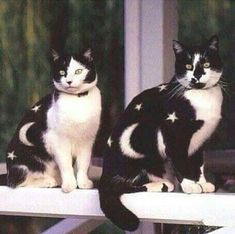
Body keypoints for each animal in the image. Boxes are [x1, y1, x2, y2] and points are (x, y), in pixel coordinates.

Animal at [6, 48, 101, 192]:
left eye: (78, 71)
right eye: (62, 72)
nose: (69, 81)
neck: (77, 100)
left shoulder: (87, 141)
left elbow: (83, 164)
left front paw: (83, 183)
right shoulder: (58, 140)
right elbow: (66, 164)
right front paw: (69, 185)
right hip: (22, 160)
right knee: (16, 181)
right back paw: (48, 181)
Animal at [98, 35, 224, 231]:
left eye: (206, 63)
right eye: (188, 66)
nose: (196, 76)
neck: (202, 98)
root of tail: (104, 175)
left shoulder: (201, 141)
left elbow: (199, 164)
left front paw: (202, 183)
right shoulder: (173, 133)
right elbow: (182, 162)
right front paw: (191, 185)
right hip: (139, 135)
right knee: (120, 187)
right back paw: (160, 185)